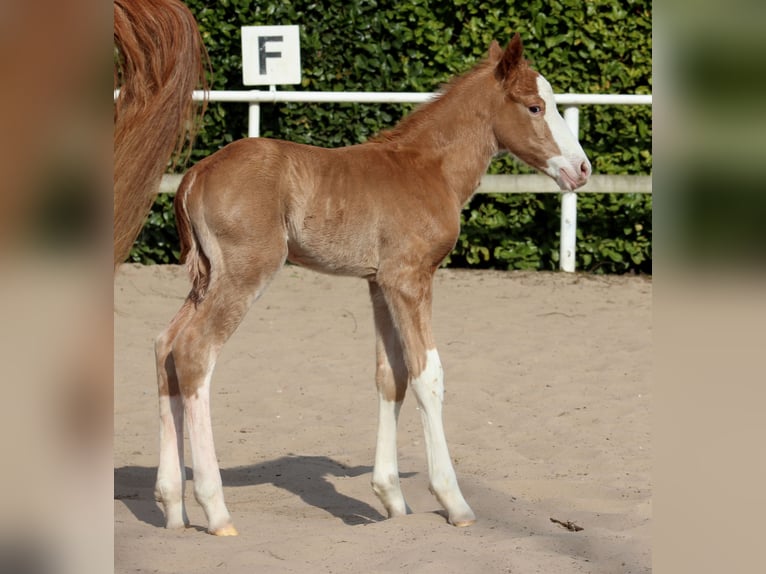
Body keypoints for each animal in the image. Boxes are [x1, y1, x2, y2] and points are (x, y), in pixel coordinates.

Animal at [154, 35, 592, 536]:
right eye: (535, 107)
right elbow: (427, 375)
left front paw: (392, 500)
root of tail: (194, 174)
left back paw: (173, 507)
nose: (582, 169)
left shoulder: (379, 283)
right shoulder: (410, 279)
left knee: (165, 347)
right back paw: (216, 510)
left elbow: (391, 376)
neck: (428, 168)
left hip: (209, 276)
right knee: (194, 351)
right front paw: (454, 502)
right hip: (245, 272)